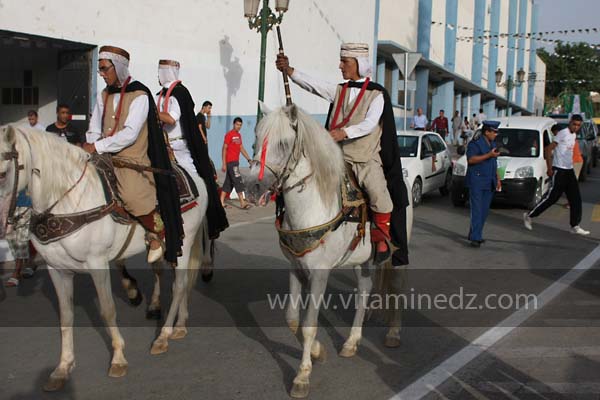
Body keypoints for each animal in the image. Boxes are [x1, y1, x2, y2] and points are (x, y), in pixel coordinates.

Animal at [0, 125, 211, 390]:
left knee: (180, 285)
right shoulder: (56, 269)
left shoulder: (97, 263)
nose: (3, 224)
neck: (68, 200)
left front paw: (118, 359)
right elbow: (65, 316)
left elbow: (107, 310)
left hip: (185, 241)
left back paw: (163, 336)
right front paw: (63, 367)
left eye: (2, 173)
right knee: (176, 281)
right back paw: (180, 325)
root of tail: (194, 176)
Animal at [244, 104, 412, 398]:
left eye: (283, 143)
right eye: (255, 139)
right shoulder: (296, 268)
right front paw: (318, 352)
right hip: (363, 260)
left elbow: (309, 325)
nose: (253, 187)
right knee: (364, 291)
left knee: (397, 286)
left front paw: (302, 376)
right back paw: (352, 341)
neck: (312, 207)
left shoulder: (320, 274)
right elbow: (292, 319)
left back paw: (393, 333)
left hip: (397, 254)